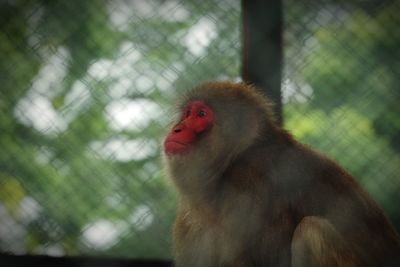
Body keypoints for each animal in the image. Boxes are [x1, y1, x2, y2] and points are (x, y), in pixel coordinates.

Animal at [162, 82, 400, 267]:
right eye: (187, 113)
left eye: (201, 114)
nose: (177, 129)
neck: (230, 164)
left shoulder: (252, 182)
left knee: (312, 231)